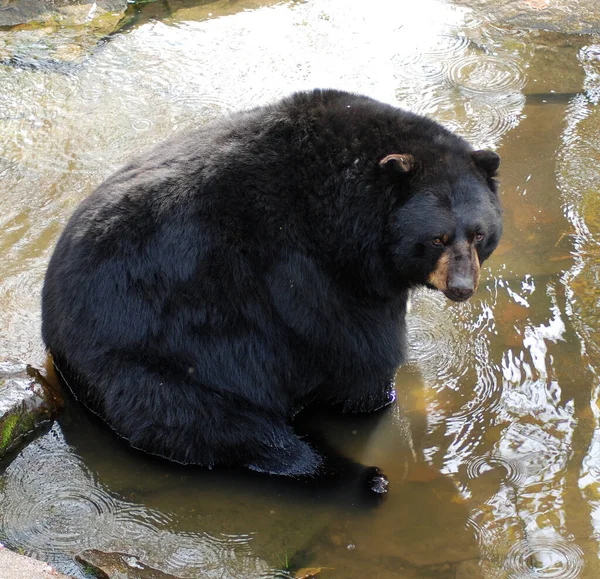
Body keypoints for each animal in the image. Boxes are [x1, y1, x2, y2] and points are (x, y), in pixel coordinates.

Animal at [42, 88, 502, 482]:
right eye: (437, 238)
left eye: (479, 234)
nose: (462, 286)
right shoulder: (309, 275)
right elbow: (359, 356)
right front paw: (380, 396)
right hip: (148, 364)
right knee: (230, 432)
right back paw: (349, 475)